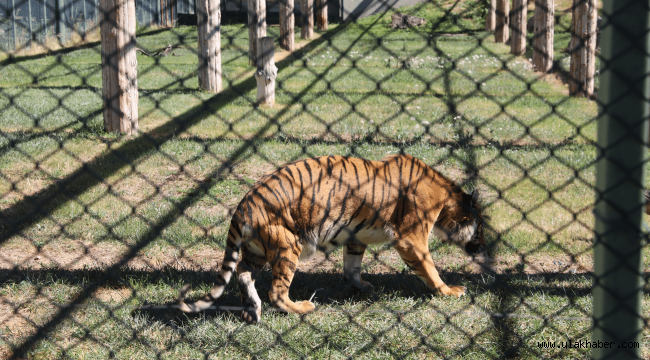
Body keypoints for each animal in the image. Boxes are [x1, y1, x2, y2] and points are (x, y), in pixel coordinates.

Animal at [177, 153, 486, 322]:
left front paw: (360, 286)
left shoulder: (356, 236)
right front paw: (448, 291)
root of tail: (243, 203)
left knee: (242, 272)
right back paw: (301, 307)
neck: (447, 199)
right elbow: (430, 269)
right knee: (276, 291)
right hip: (288, 245)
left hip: (256, 250)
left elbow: (352, 266)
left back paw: (251, 311)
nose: (482, 247)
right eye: (481, 228)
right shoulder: (412, 238)